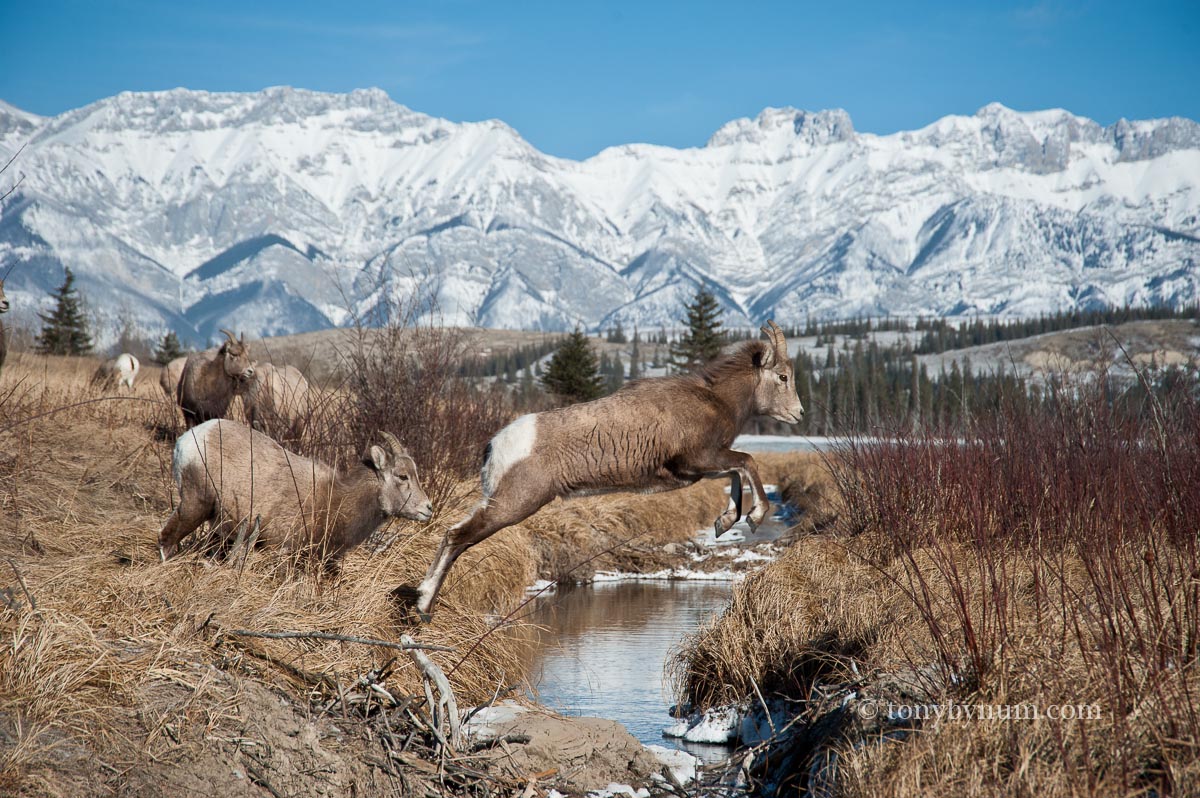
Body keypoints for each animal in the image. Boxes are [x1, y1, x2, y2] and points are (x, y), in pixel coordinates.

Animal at [159, 420, 436, 564]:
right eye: (402, 476)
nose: (428, 509)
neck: (331, 499)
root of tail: (188, 439)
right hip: (195, 505)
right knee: (166, 538)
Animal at [408, 321, 801, 619]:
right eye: (782, 376)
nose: (798, 414)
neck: (715, 401)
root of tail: (496, 445)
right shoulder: (697, 460)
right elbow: (747, 462)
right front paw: (754, 517)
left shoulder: (697, 469)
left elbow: (736, 474)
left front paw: (725, 522)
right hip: (514, 504)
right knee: (459, 537)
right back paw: (423, 606)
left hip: (497, 500)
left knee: (452, 532)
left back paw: (420, 604)